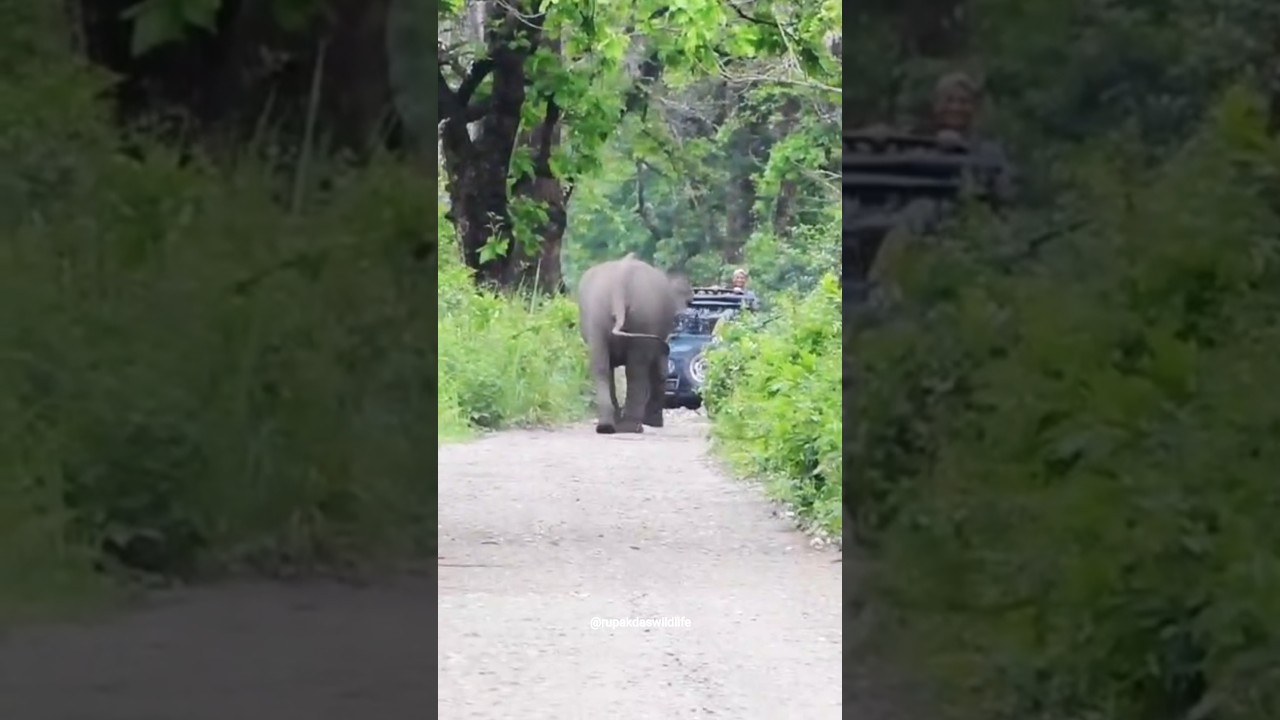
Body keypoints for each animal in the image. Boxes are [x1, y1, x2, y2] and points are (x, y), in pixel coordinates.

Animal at [577, 253, 692, 434]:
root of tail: (620, 280)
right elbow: (661, 370)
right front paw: (654, 423)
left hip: (598, 314)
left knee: (602, 366)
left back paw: (607, 427)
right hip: (644, 313)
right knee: (636, 370)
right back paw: (631, 427)